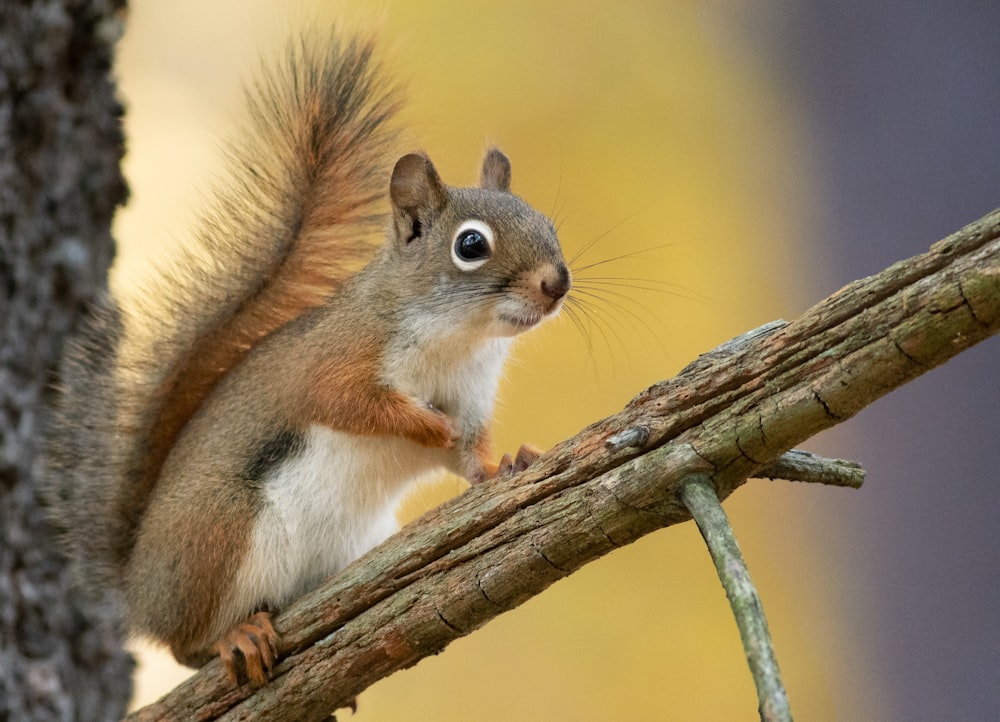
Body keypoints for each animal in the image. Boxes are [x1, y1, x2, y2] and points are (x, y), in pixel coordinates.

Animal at [45, 31, 572, 684]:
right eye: (471, 245)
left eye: (547, 223)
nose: (558, 283)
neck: (460, 339)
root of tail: (137, 591)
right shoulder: (340, 356)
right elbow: (346, 402)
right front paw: (426, 425)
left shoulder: (472, 392)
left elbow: (469, 456)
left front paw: (506, 463)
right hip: (222, 529)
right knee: (184, 645)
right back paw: (235, 636)